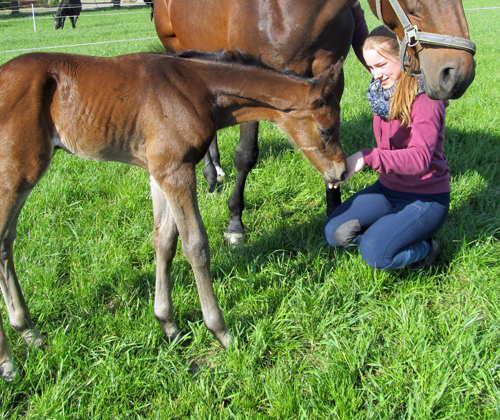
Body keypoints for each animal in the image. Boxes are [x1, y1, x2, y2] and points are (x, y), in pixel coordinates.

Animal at [153, 0, 476, 244]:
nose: (457, 74)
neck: (289, 10)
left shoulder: (328, 76)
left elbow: (328, 151)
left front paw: (335, 209)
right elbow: (246, 155)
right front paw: (235, 224)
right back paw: (211, 175)